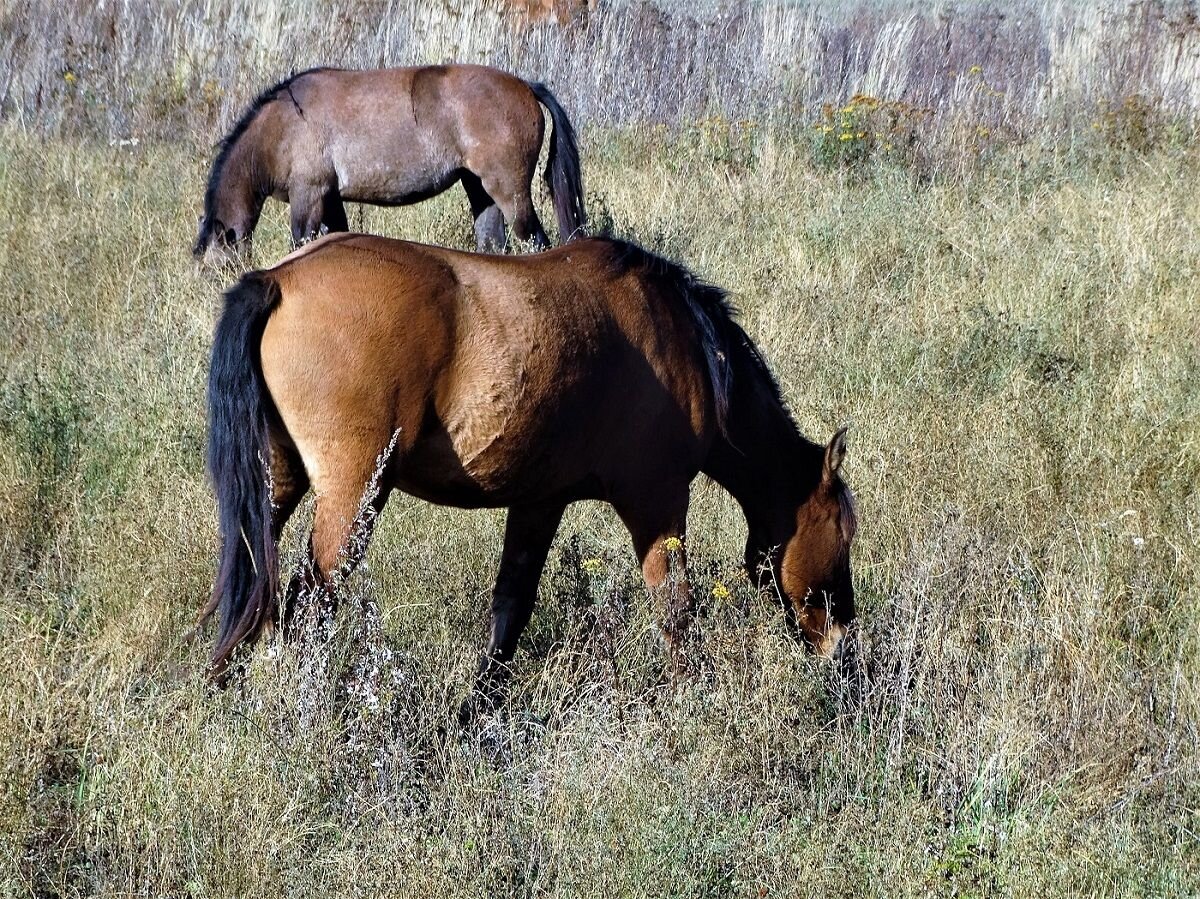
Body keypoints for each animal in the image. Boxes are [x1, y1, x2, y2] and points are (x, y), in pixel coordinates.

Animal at [192, 65, 585, 266]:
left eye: (219, 267)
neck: (283, 124)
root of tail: (526, 86)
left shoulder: (309, 197)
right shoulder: (330, 199)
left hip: (508, 192)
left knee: (536, 241)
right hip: (479, 189)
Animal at [201, 232, 859, 696]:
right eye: (844, 536)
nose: (844, 650)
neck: (686, 345)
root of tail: (279, 278)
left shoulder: (540, 501)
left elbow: (510, 610)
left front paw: (479, 710)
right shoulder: (658, 502)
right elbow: (676, 609)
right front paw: (693, 697)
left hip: (279, 484)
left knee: (253, 584)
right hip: (354, 496)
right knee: (305, 603)